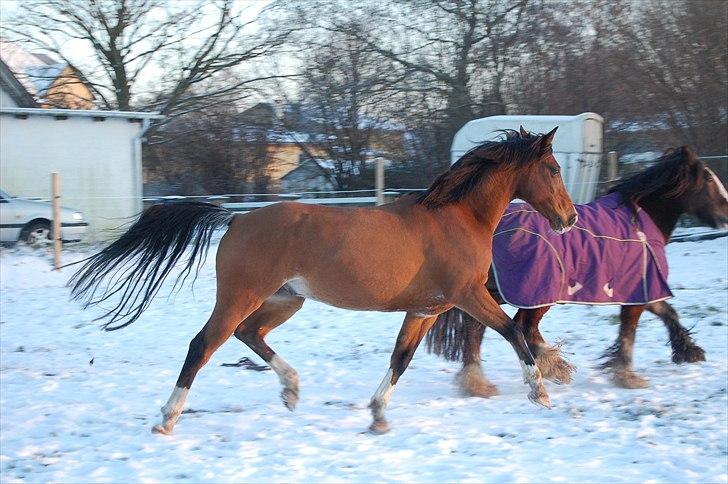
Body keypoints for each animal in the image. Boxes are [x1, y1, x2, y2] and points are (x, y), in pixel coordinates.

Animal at [71, 126, 576, 432]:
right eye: (553, 168)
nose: (569, 219)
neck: (456, 218)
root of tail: (235, 219)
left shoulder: (424, 310)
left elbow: (401, 358)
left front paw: (377, 414)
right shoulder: (468, 295)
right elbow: (513, 331)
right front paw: (540, 391)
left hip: (284, 300)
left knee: (248, 334)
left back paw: (292, 389)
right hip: (242, 295)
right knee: (204, 344)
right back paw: (167, 417)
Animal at [426, 146, 728, 396]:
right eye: (708, 179)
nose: (726, 213)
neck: (640, 219)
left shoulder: (641, 290)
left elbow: (667, 313)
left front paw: (689, 351)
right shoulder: (638, 290)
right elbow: (629, 331)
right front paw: (626, 376)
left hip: (498, 291)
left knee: (481, 327)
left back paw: (478, 382)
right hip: (535, 292)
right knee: (518, 327)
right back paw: (544, 368)